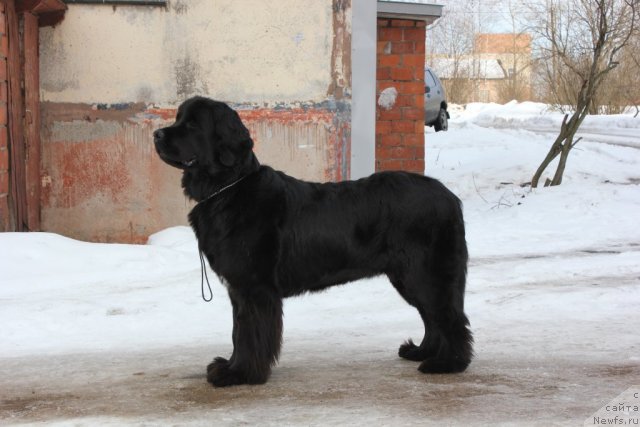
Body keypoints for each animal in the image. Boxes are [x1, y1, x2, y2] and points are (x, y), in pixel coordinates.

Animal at [152, 97, 472, 388]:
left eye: (193, 125)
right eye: (178, 118)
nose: (156, 134)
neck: (228, 189)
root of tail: (449, 197)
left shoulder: (254, 288)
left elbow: (248, 333)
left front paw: (240, 374)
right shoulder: (239, 289)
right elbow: (237, 331)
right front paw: (230, 366)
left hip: (425, 272)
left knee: (450, 318)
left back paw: (448, 363)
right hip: (407, 277)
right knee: (432, 317)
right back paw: (422, 352)